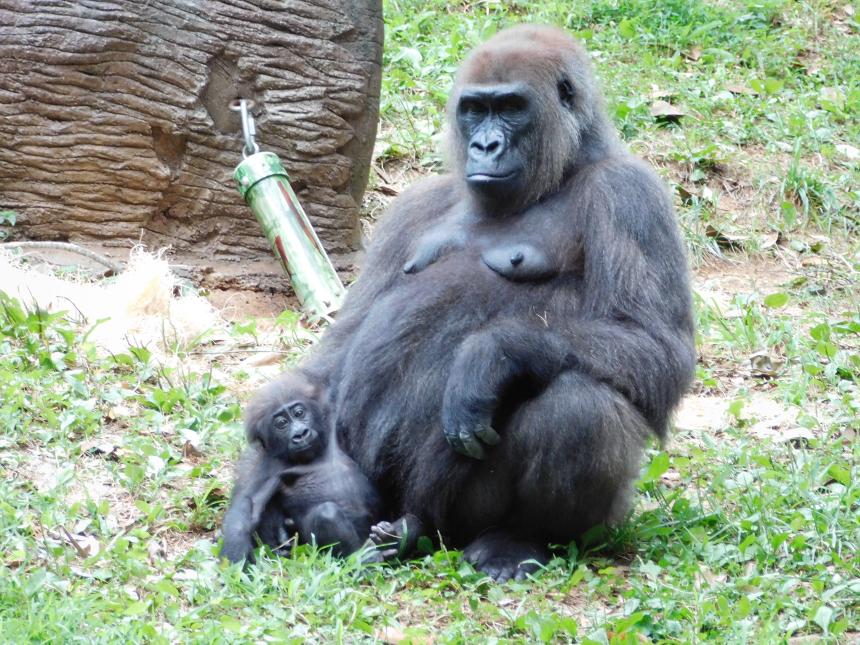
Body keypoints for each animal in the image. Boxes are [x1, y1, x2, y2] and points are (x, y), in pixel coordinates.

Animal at [220, 372, 382, 564]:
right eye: (281, 423)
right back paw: (364, 558)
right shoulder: (269, 465)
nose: (300, 434)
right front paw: (235, 556)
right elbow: (248, 504)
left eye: (299, 413)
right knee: (327, 514)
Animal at [276, 25, 692, 580]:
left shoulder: (630, 194)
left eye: (511, 107)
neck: (565, 167)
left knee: (582, 405)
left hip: (463, 518)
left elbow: (657, 348)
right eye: (474, 109)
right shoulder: (411, 207)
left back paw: (515, 539)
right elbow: (337, 350)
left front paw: (490, 355)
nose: (485, 144)